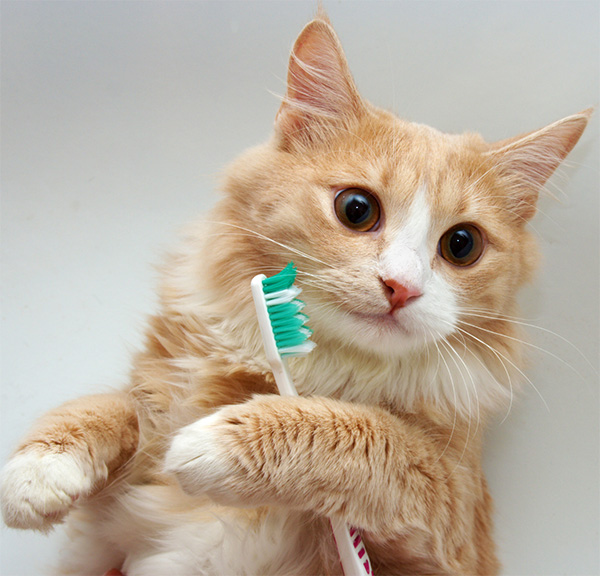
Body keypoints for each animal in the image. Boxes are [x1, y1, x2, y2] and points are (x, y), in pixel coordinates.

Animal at [0, 10, 592, 576]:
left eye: (462, 244)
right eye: (357, 209)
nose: (401, 287)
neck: (324, 367)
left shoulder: (452, 508)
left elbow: (371, 434)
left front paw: (219, 440)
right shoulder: (151, 412)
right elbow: (115, 406)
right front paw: (40, 469)